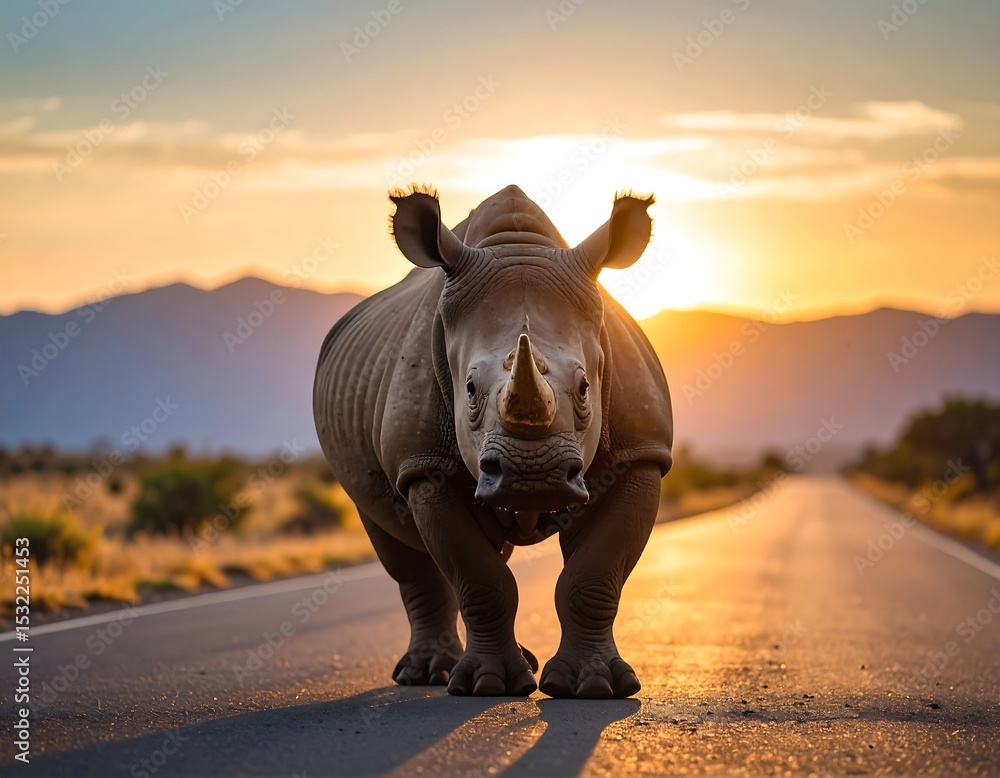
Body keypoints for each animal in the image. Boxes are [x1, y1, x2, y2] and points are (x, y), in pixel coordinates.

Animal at [313, 184, 672, 698]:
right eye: (468, 389)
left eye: (586, 387)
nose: (532, 477)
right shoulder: (425, 464)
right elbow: (480, 578)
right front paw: (488, 685)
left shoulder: (640, 454)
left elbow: (593, 576)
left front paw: (596, 686)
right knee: (397, 544)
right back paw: (429, 676)